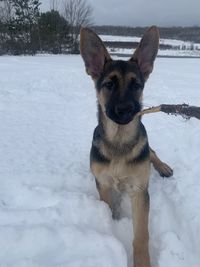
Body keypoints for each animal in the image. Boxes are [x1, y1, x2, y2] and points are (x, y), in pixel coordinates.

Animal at [80, 26, 173, 267]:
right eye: (109, 84)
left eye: (136, 85)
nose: (126, 110)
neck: (119, 142)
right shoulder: (103, 184)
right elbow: (109, 209)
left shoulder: (139, 192)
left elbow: (141, 235)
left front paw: (142, 262)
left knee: (152, 152)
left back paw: (163, 167)